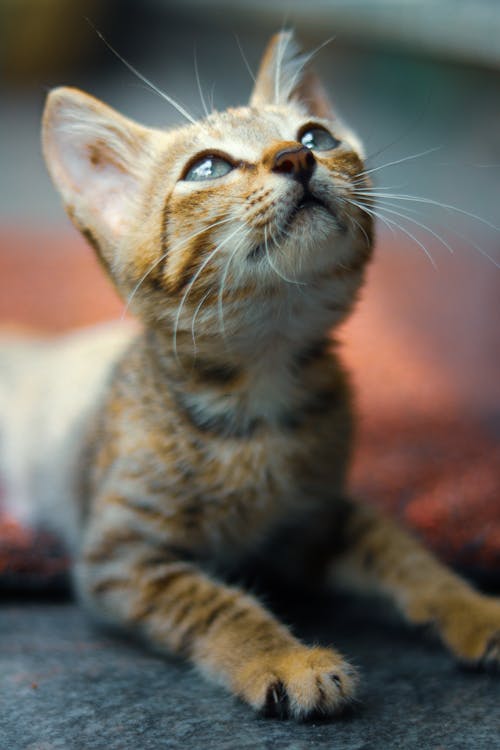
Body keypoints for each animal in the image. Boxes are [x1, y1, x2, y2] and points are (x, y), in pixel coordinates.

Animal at [1, 30, 498, 724]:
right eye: (207, 168)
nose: (296, 157)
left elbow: (406, 554)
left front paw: (473, 608)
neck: (261, 384)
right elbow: (215, 605)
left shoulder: (316, 519)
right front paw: (285, 659)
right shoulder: (121, 559)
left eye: (317, 135)